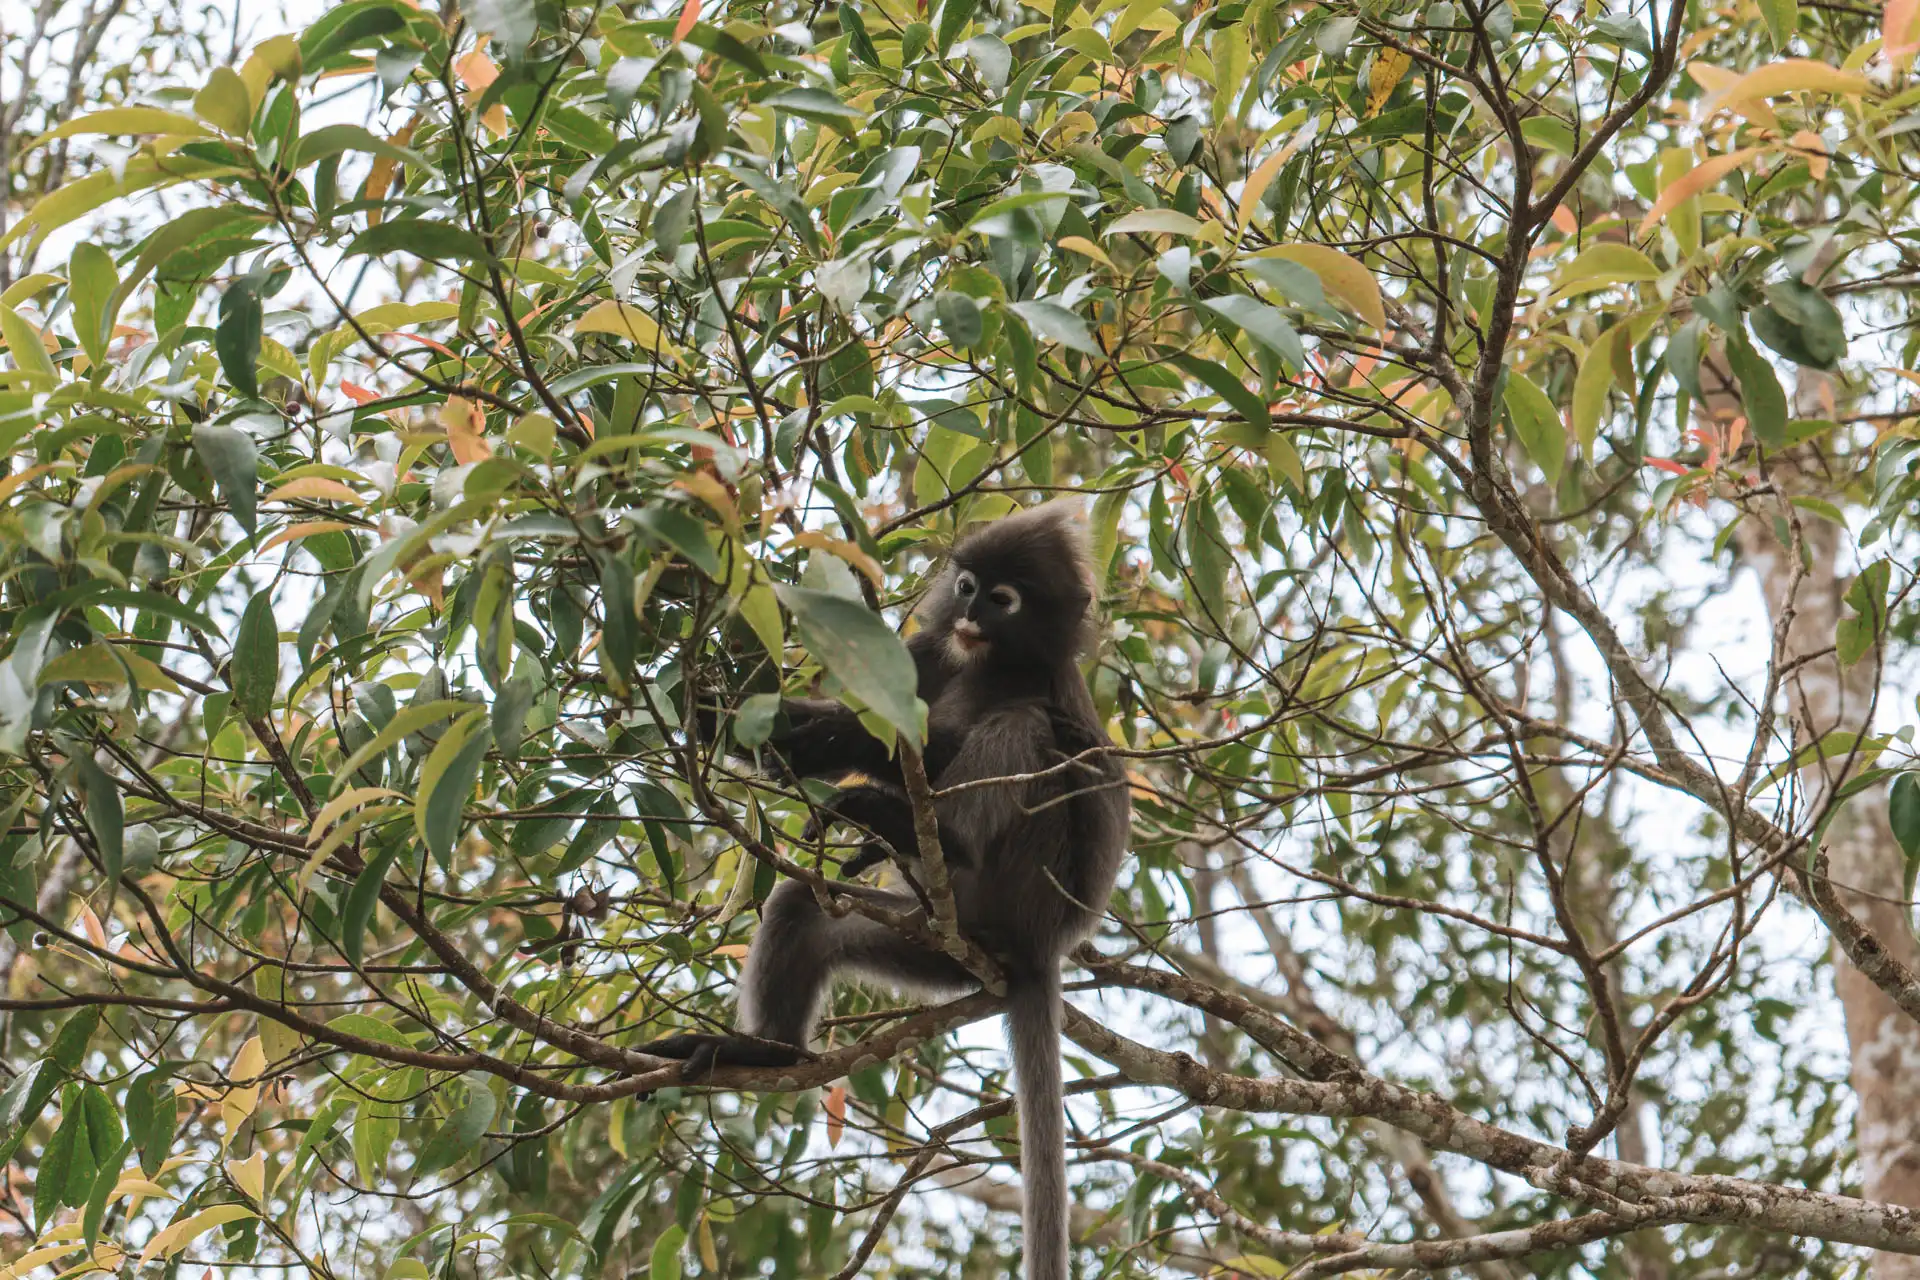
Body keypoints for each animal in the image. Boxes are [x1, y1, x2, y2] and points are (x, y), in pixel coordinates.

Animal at [648, 506, 1121, 1280]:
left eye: (1004, 599)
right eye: (967, 585)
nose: (968, 613)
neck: (985, 663)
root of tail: (1035, 948)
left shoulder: (1051, 687)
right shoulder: (928, 651)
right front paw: (711, 707)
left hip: (1028, 892)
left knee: (1025, 733)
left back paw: (930, 837)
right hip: (928, 948)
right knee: (800, 909)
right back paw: (767, 1053)